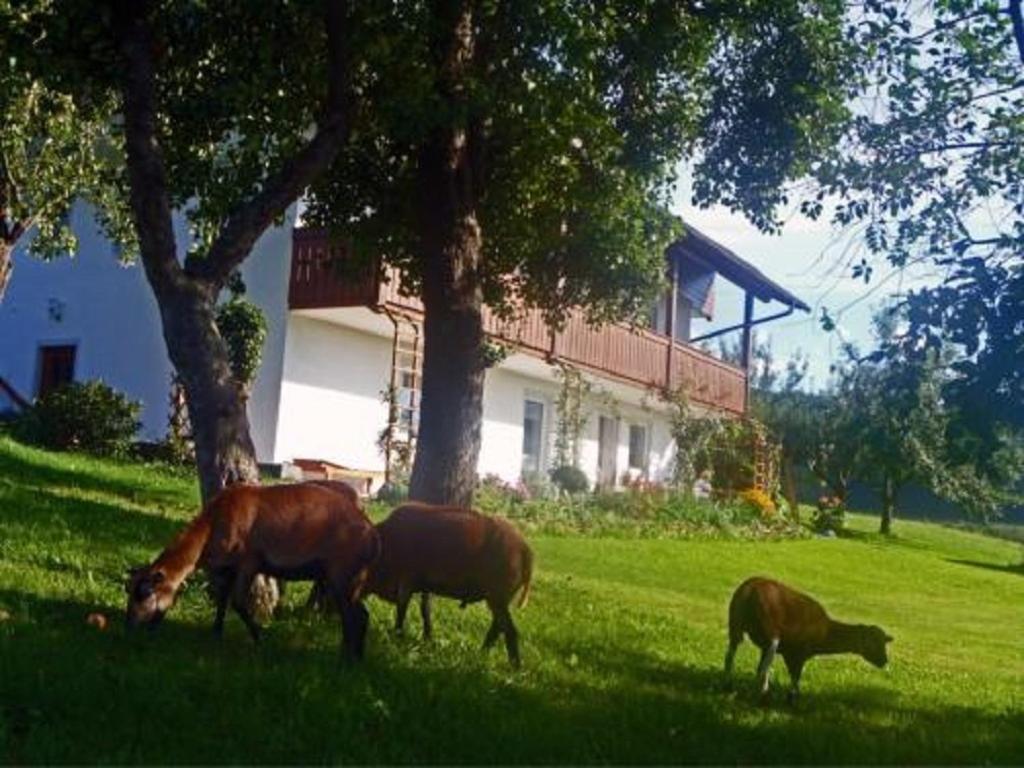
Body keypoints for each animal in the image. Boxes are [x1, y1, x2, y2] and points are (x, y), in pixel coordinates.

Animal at [124, 487, 380, 663]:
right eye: (128, 590)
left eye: (144, 593)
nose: (129, 627)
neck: (210, 528)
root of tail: (372, 534)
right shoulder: (228, 568)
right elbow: (222, 601)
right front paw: (216, 633)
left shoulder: (249, 563)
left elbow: (238, 602)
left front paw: (258, 639)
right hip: (342, 577)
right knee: (358, 615)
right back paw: (352, 656)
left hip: (343, 575)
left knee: (356, 615)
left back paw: (348, 661)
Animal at [366, 505, 532, 667]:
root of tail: (524, 548)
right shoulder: (424, 586)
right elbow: (425, 610)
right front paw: (427, 638)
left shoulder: (406, 581)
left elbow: (401, 612)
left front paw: (397, 638)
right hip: (499, 599)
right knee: (497, 628)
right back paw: (482, 654)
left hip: (497, 597)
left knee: (510, 631)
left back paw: (515, 667)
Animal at [724, 577, 892, 696]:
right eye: (875, 643)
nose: (884, 661)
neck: (826, 632)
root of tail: (749, 588)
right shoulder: (798, 653)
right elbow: (795, 678)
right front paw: (792, 699)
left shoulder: (781, 651)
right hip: (771, 632)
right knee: (764, 668)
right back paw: (762, 694)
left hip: (735, 625)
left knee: (730, 657)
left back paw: (729, 684)